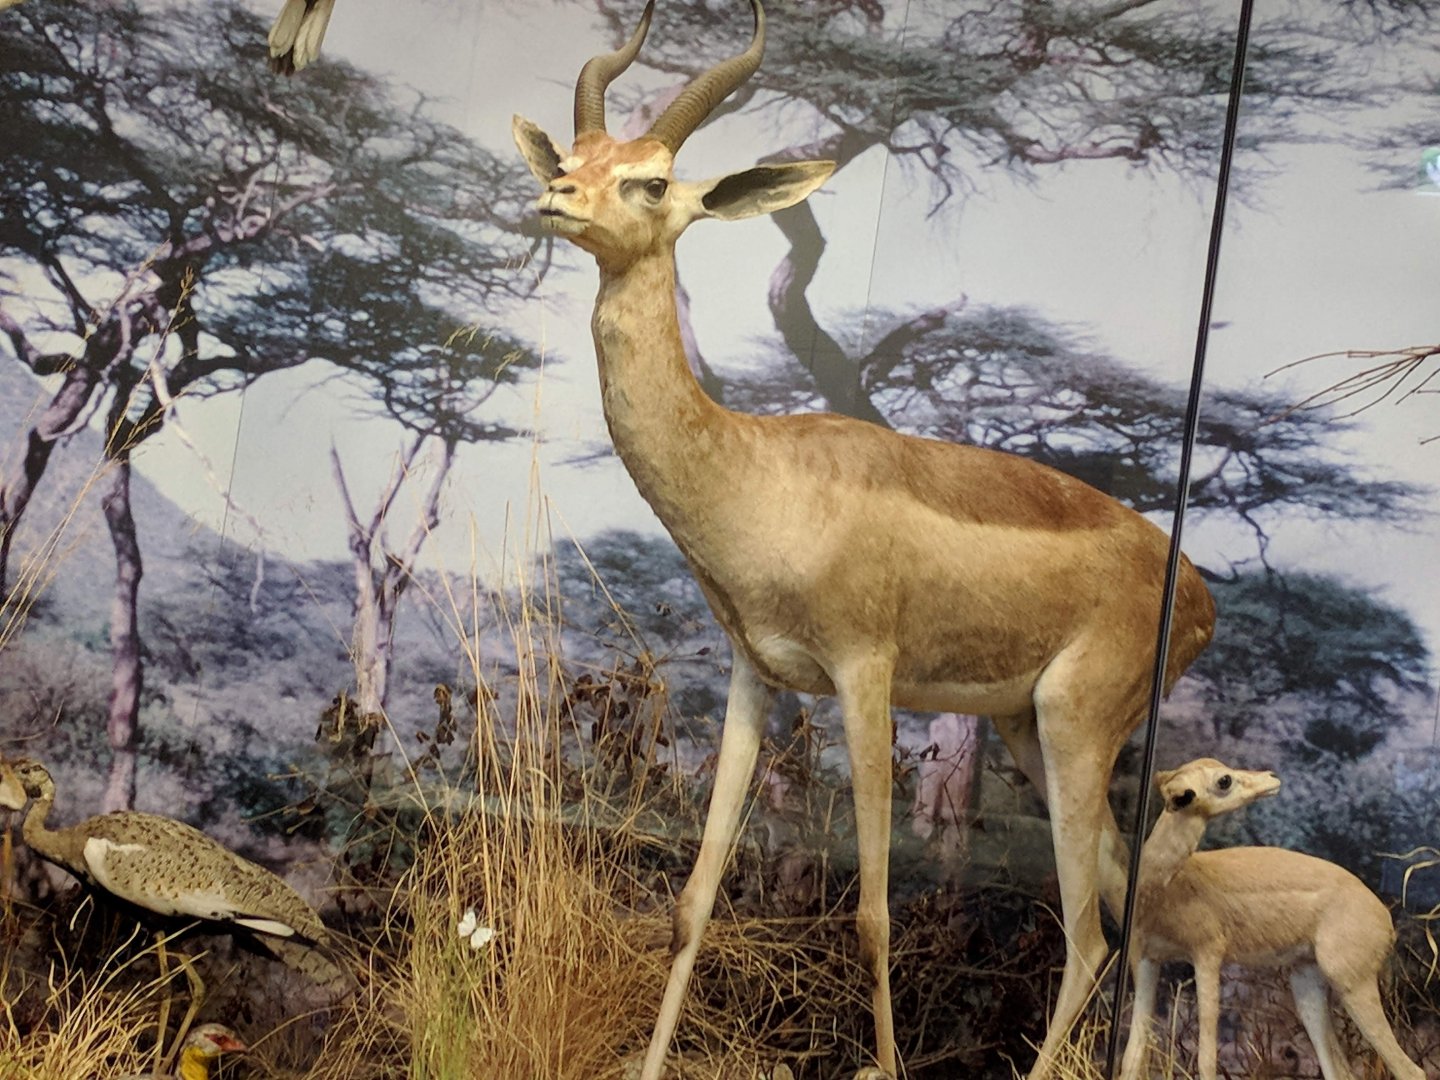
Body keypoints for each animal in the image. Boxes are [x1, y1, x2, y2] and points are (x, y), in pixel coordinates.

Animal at [510, 2, 1216, 1076]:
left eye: (653, 179)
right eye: (575, 154)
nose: (554, 199)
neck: (763, 472)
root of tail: (1201, 591)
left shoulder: (864, 678)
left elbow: (875, 915)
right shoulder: (755, 676)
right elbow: (693, 899)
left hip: (1075, 730)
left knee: (1090, 933)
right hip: (1031, 730)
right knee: (1122, 908)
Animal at [1121, 759, 1425, 1080]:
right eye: (1224, 780)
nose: (1271, 777)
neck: (1165, 891)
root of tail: (1385, 917)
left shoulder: (1207, 954)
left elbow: (1206, 1058)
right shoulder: (1147, 958)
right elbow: (1132, 1055)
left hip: (1353, 983)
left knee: (1411, 1070)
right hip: (1307, 981)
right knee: (1339, 1069)